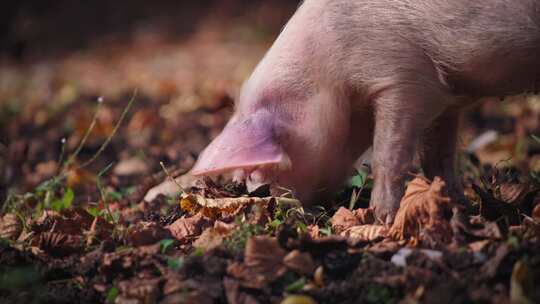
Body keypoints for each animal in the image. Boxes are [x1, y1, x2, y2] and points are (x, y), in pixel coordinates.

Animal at [191, 0, 540, 223]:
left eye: (260, 172)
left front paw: (380, 218)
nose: (271, 205)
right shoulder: (445, 99)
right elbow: (436, 157)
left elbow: (388, 155)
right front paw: (458, 206)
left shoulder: (404, 78)